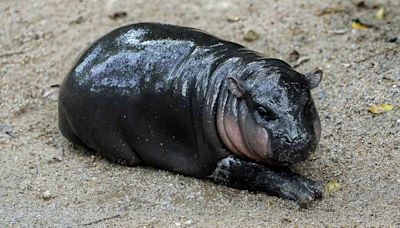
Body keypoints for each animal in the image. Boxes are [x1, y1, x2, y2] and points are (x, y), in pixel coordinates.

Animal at [57, 23, 324, 205]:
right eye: (261, 110)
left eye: (308, 104)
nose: (298, 139)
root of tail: (74, 67)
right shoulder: (221, 163)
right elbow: (258, 171)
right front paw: (309, 189)